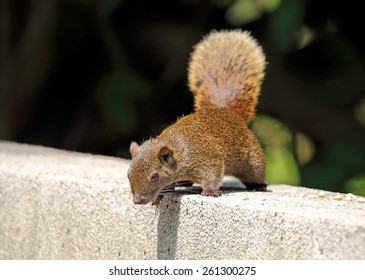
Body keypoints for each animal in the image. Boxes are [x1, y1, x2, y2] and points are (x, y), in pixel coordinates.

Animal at [127, 30, 264, 206]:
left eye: (155, 177)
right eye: (128, 175)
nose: (138, 201)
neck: (179, 151)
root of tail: (226, 110)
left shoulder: (207, 159)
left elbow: (212, 175)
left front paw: (210, 191)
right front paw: (158, 196)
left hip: (253, 161)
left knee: (255, 174)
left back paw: (258, 186)